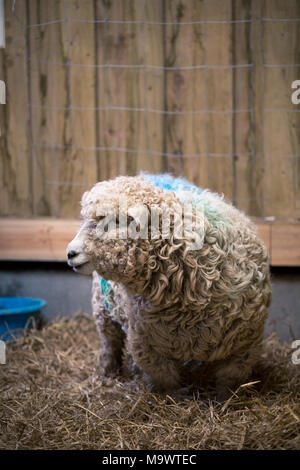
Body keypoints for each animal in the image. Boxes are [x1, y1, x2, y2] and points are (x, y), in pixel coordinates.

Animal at [67, 173, 272, 396]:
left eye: (117, 220)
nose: (70, 253)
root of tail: (149, 174)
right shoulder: (148, 348)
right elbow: (167, 383)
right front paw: (174, 397)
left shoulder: (245, 347)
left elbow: (229, 382)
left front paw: (225, 398)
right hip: (102, 310)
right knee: (110, 344)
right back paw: (109, 373)